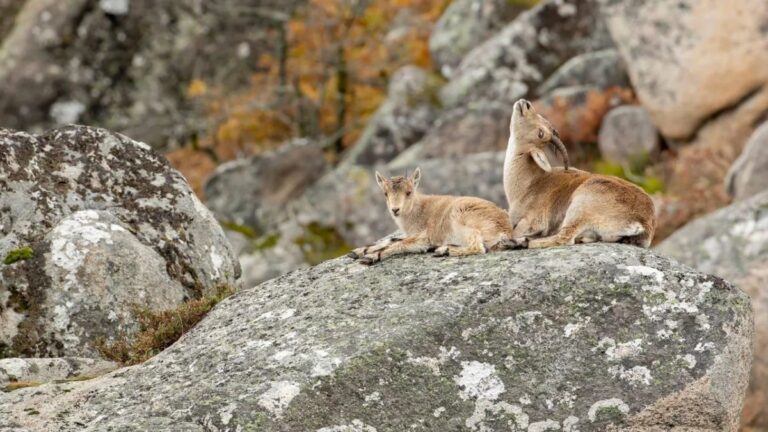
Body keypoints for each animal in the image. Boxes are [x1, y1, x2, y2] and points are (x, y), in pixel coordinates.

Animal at [348, 168, 525, 265]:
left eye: (408, 192)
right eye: (385, 193)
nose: (395, 209)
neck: (417, 212)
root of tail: (505, 229)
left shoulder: (423, 237)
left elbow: (397, 244)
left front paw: (369, 257)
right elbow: (391, 239)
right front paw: (357, 251)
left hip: (463, 218)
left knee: (478, 247)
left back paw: (443, 251)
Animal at [503, 99, 656, 248]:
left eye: (540, 133)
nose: (526, 104)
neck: (528, 185)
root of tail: (642, 224)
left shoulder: (533, 221)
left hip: (580, 206)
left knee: (564, 238)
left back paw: (518, 243)